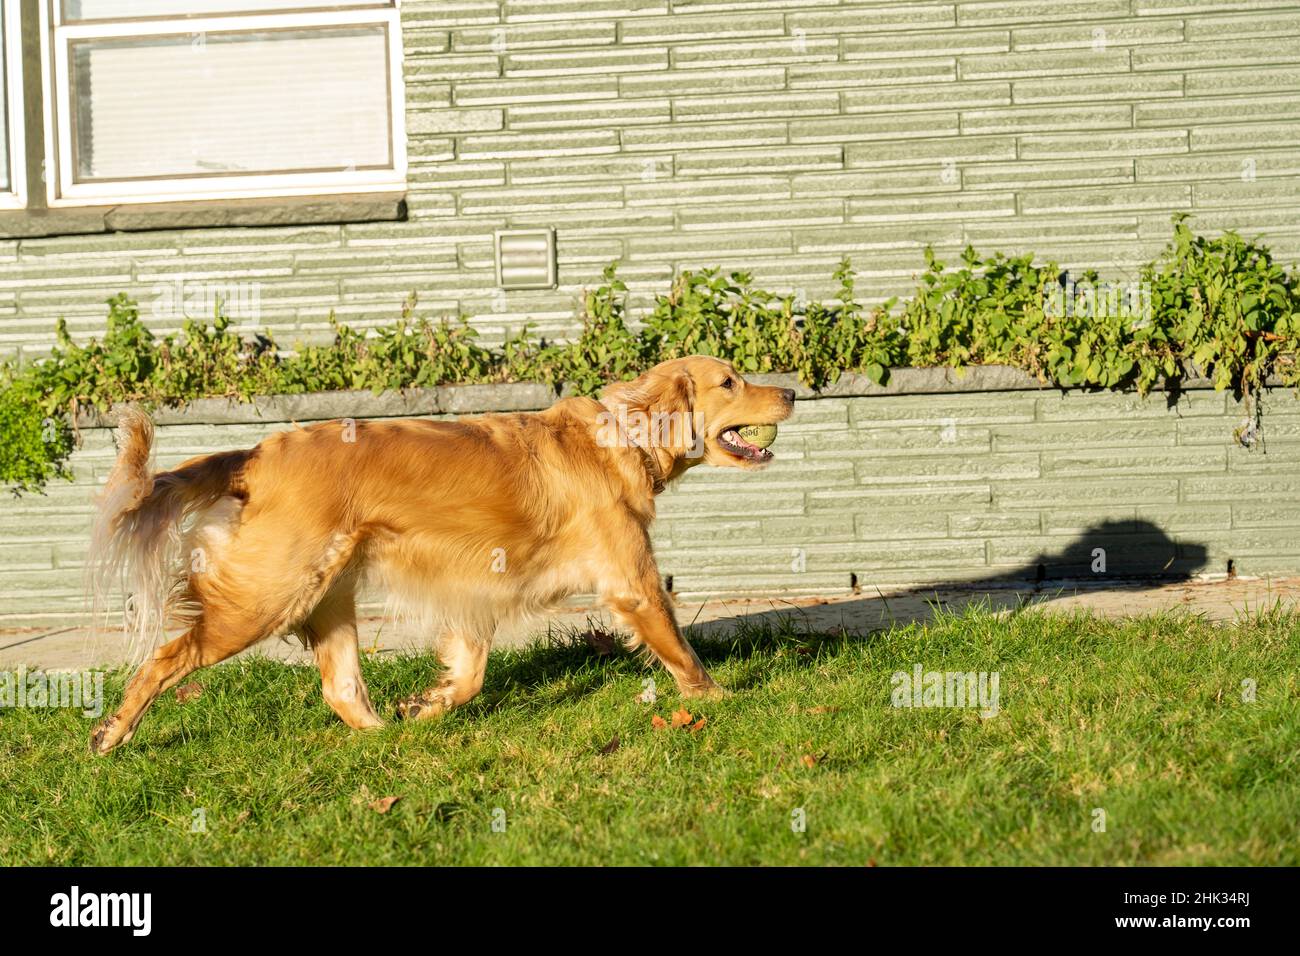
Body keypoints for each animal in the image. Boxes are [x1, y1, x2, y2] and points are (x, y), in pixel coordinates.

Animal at [89, 358, 790, 754]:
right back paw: (111, 734)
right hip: (266, 597)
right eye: (730, 382)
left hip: (328, 594)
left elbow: (470, 673)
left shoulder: (471, 589)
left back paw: (387, 736)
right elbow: (680, 648)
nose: (788, 394)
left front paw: (428, 704)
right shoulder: (633, 582)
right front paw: (720, 699)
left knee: (342, 688)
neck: (619, 436)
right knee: (166, 658)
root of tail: (257, 453)